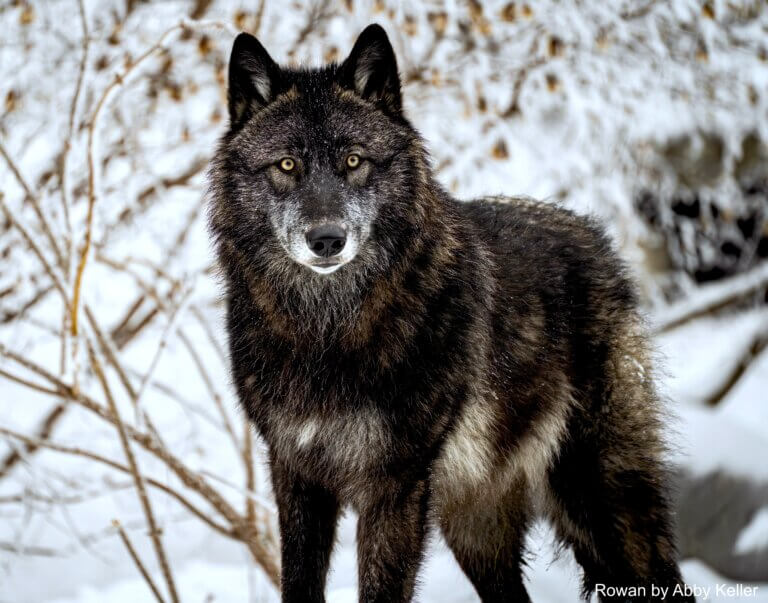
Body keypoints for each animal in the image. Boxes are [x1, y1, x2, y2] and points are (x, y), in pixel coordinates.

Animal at [208, 24, 693, 603]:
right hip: (475, 528)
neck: (328, 331)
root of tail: (596, 237)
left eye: (354, 161)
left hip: (604, 498)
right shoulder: (295, 474)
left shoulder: (395, 485)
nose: (326, 240)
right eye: (286, 165)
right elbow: (299, 582)